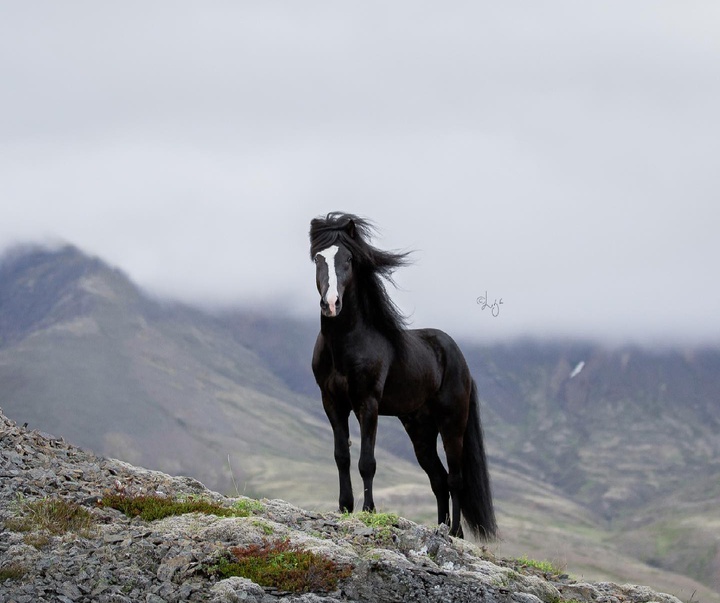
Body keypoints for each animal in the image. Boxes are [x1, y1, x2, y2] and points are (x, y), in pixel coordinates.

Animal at [310, 211, 496, 536]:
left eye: (348, 259)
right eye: (318, 258)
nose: (331, 304)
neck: (345, 343)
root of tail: (459, 360)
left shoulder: (368, 403)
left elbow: (367, 461)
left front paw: (369, 511)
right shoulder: (332, 403)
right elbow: (342, 456)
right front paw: (344, 508)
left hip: (452, 423)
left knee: (455, 478)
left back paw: (454, 532)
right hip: (420, 428)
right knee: (438, 479)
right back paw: (439, 527)